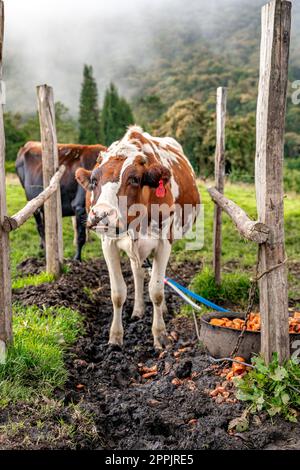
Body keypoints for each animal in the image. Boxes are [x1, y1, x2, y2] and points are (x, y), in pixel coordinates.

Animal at [76, 125, 200, 348]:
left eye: (133, 179)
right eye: (94, 181)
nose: (101, 214)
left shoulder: (164, 242)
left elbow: (157, 291)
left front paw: (160, 335)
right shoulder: (108, 243)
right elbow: (118, 293)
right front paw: (115, 337)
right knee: (138, 272)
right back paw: (138, 310)